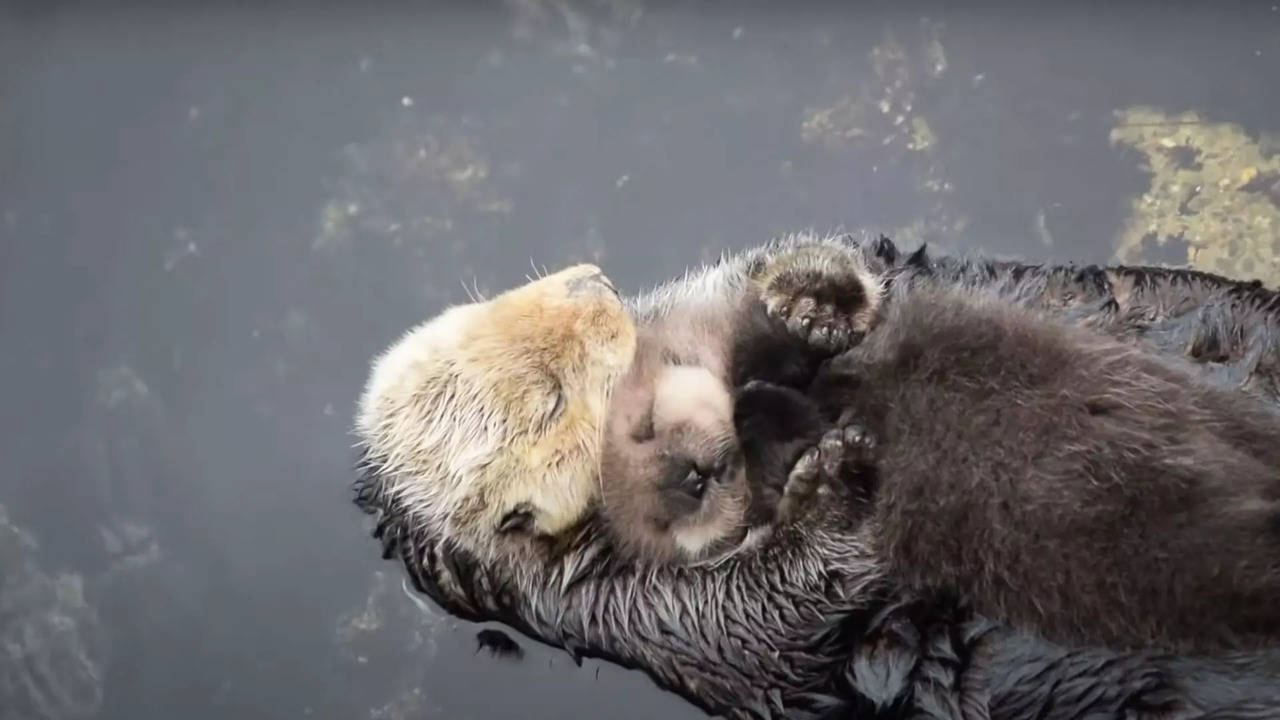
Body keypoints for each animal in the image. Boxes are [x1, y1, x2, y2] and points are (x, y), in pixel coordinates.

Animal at [355, 234, 1280, 717]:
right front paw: (830, 481)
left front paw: (811, 294)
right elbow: (781, 613)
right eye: (549, 398)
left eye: (488, 301)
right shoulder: (639, 606)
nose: (593, 282)